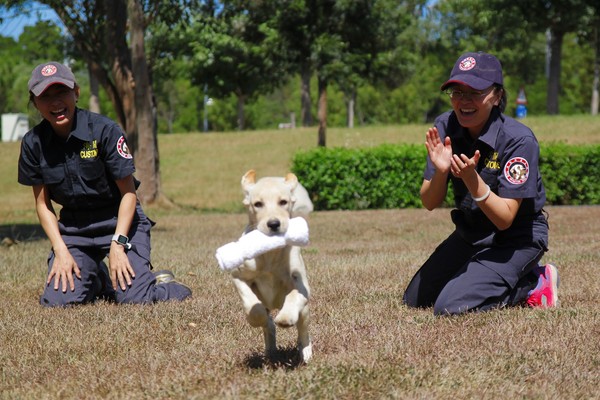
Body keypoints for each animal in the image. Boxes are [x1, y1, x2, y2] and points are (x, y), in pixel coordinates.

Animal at [231, 169, 314, 362]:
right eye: (257, 204)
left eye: (283, 202)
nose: (274, 224)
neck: (270, 253)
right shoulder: (238, 276)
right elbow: (252, 305)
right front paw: (260, 319)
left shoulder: (302, 285)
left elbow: (294, 295)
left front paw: (285, 318)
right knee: (268, 328)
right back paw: (270, 351)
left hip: (305, 312)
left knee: (303, 330)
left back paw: (305, 352)